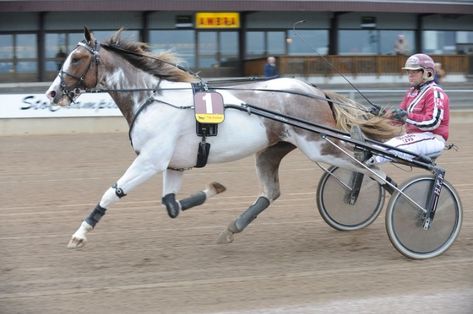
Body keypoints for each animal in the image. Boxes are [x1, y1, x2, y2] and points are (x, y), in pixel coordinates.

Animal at [46, 28, 398, 248]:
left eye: (76, 58)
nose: (52, 93)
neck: (152, 97)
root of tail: (314, 90)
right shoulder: (174, 165)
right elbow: (172, 206)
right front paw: (214, 188)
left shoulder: (150, 161)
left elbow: (111, 192)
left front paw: (80, 234)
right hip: (272, 150)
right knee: (272, 192)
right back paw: (232, 229)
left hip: (320, 145)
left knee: (370, 165)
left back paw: (376, 194)